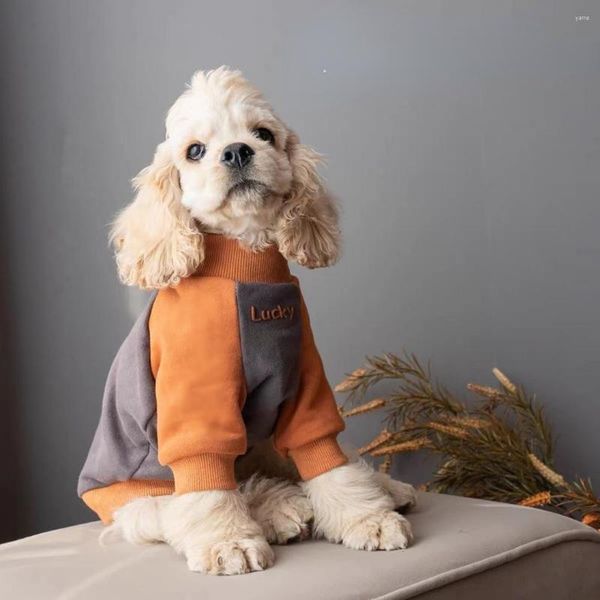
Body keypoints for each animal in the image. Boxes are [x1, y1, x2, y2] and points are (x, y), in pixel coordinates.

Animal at [78, 68, 418, 576]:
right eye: (195, 151)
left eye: (263, 134)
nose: (237, 151)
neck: (245, 263)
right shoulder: (197, 406)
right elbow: (206, 482)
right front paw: (228, 542)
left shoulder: (305, 384)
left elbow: (327, 457)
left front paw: (366, 517)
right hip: (138, 501)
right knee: (191, 502)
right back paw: (280, 510)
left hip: (263, 442)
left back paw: (384, 490)